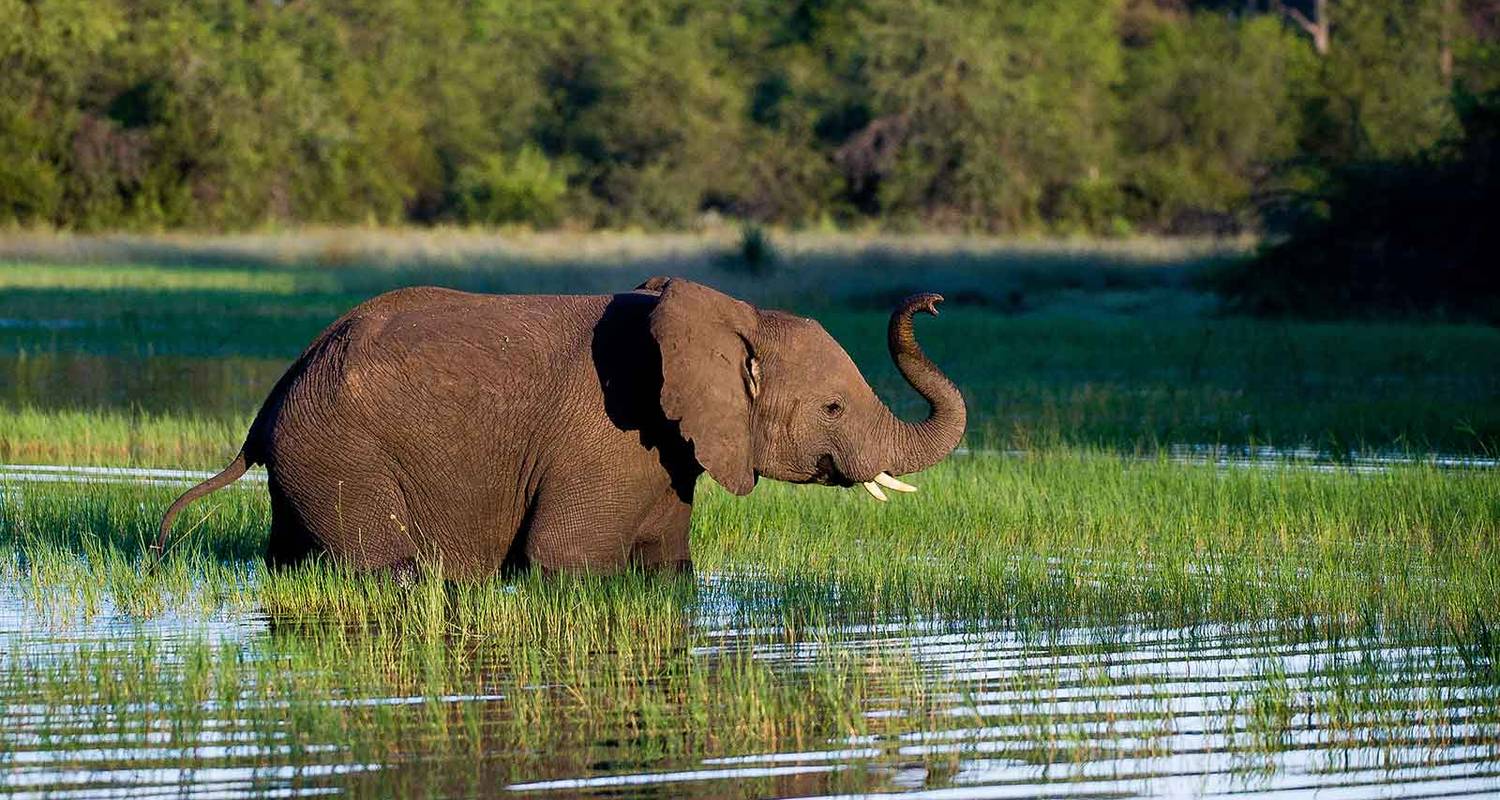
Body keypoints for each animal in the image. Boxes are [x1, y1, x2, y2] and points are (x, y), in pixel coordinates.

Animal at [155, 277, 972, 576]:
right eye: (833, 408)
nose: (933, 302)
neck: (727, 314)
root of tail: (273, 399)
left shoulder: (664, 451)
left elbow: (667, 564)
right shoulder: (606, 437)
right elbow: (565, 559)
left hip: (310, 455)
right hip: (339, 450)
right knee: (383, 566)